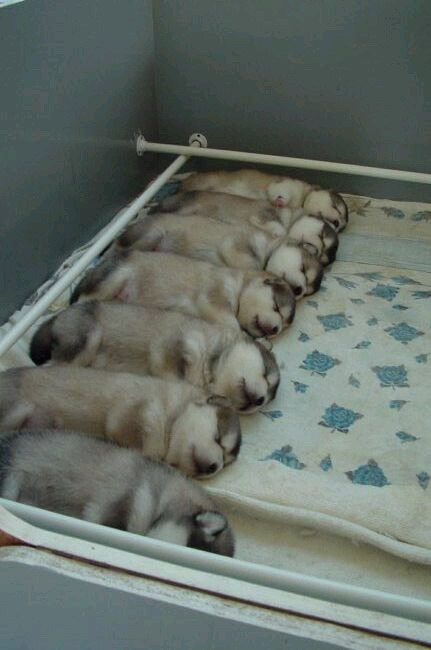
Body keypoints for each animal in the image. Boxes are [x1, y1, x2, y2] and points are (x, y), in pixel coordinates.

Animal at [30, 303, 281, 413]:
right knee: (54, 364)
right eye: (267, 375)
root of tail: (58, 316)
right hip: (87, 339)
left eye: (268, 398)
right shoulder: (175, 344)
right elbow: (174, 370)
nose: (260, 401)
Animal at [71, 251, 295, 338]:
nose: (275, 329)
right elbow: (232, 323)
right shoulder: (213, 297)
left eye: (284, 326)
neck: (239, 283)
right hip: (114, 278)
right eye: (277, 307)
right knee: (83, 298)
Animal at [181, 170, 348, 231]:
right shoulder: (288, 185)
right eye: (336, 207)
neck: (301, 201)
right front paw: (279, 200)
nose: (336, 223)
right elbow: (283, 190)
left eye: (340, 227)